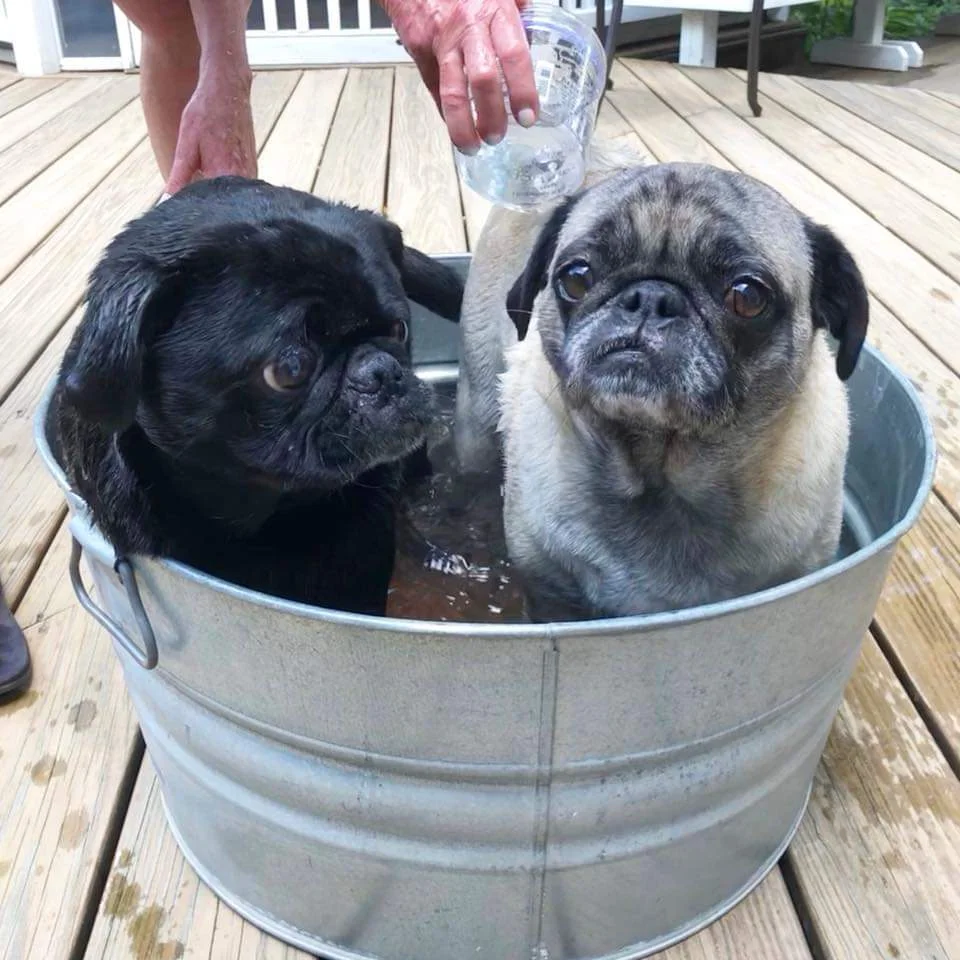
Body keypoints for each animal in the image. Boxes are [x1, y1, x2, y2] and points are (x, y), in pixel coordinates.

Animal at [459, 160, 869, 621]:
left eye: (747, 296)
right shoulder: (551, 596)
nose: (651, 296)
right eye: (576, 277)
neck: (661, 478)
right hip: (477, 420)